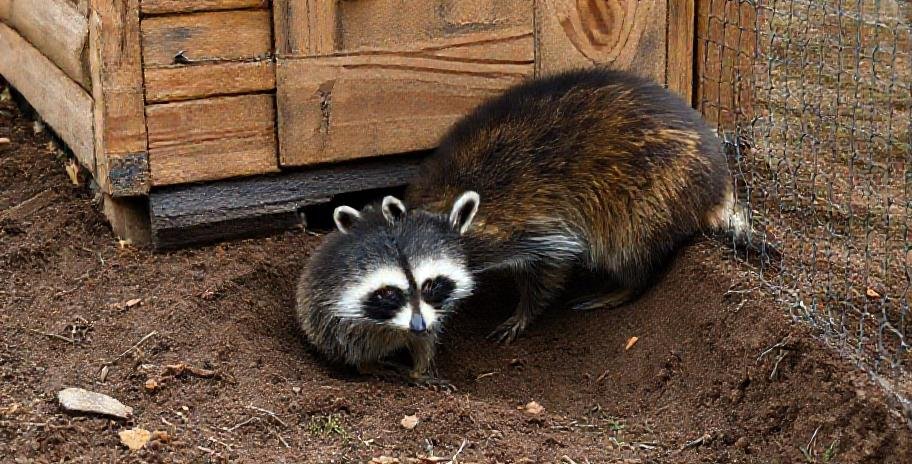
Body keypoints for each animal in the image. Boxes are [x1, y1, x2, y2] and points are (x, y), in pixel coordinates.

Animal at [296, 68, 775, 382]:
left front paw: (525, 311)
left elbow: (552, 263)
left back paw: (625, 284)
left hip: (654, 188)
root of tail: (718, 181)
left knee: (630, 245)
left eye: (428, 284)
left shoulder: (527, 225)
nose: (419, 325)